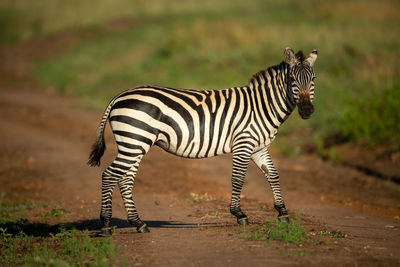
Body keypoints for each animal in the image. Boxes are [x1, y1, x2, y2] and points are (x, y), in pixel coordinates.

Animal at [88, 47, 318, 233]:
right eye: (292, 80)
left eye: (313, 79)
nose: (307, 111)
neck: (262, 106)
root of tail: (119, 96)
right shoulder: (243, 144)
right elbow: (238, 179)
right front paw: (239, 214)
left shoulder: (259, 148)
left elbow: (273, 175)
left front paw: (282, 212)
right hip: (134, 142)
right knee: (109, 175)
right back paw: (106, 224)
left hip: (134, 144)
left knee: (125, 179)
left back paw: (139, 223)